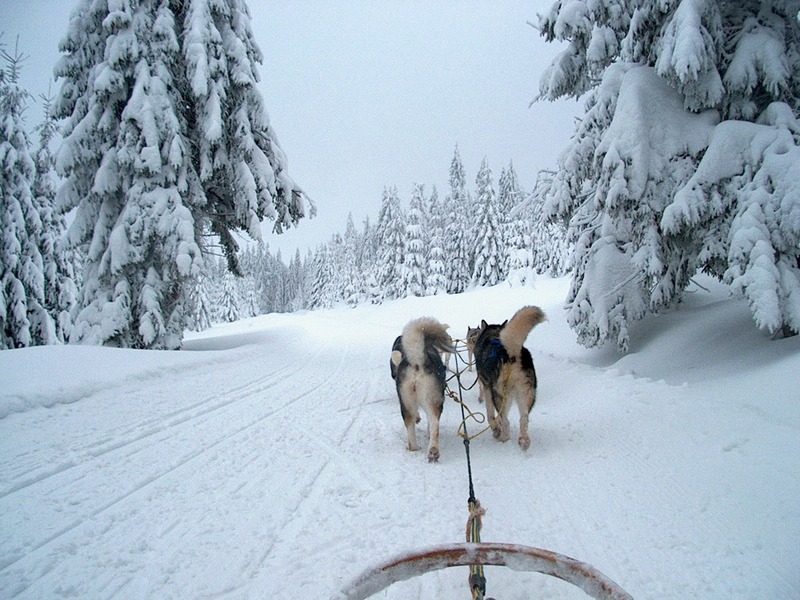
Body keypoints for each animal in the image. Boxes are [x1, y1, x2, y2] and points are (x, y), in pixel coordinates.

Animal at [390, 316, 454, 462]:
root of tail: (417, 362)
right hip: (434, 401)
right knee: (434, 423)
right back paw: (433, 451)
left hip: (406, 403)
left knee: (410, 426)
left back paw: (415, 448)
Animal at [472, 304, 548, 450]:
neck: (493, 334)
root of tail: (510, 352)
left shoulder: (487, 387)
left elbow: (490, 415)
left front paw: (496, 429)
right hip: (526, 394)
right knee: (524, 418)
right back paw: (524, 441)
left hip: (501, 395)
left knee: (506, 420)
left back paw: (503, 438)